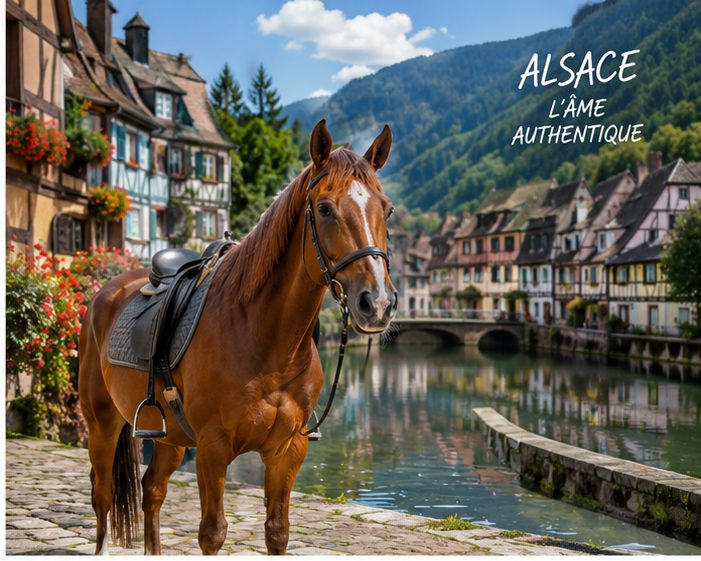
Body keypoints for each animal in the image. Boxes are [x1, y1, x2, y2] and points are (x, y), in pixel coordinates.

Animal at [78, 119, 397, 555]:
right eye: (325, 208)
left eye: (387, 208)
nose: (377, 302)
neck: (266, 341)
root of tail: (103, 294)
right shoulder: (213, 448)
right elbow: (212, 532)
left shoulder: (287, 450)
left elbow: (277, 531)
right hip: (102, 423)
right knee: (103, 492)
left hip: (170, 437)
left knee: (152, 491)